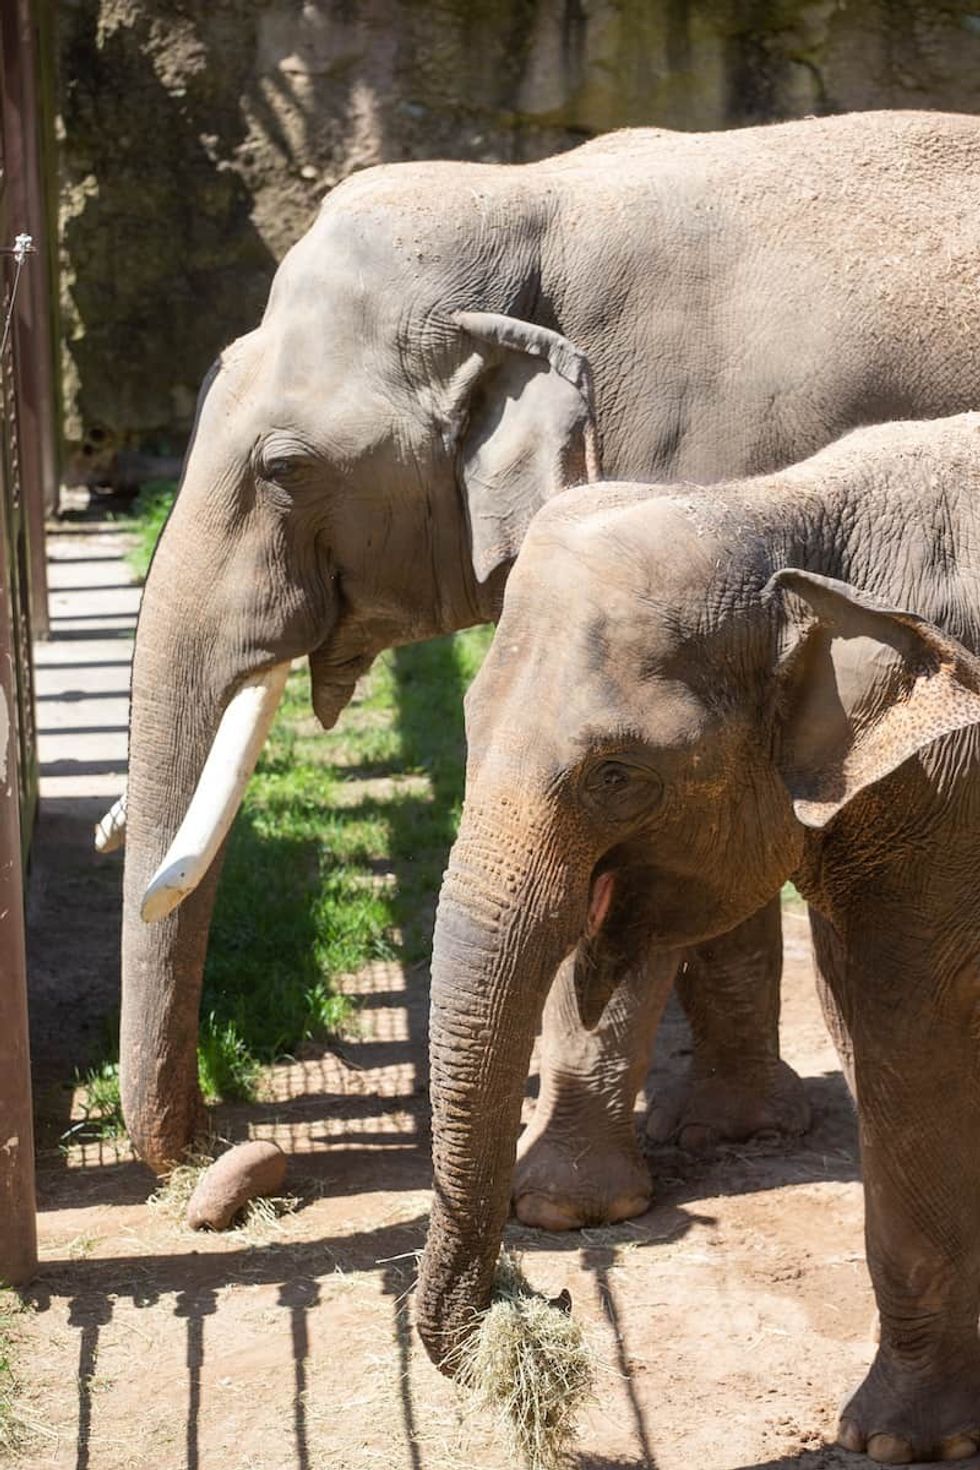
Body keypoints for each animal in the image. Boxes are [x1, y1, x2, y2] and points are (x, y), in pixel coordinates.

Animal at [120, 110, 980, 1231]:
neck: (524, 202)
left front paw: (563, 1207)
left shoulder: (702, 457)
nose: (223, 1160)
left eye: (285, 469)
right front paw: (736, 1131)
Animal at [417, 410, 980, 1465]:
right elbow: (874, 1031)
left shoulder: (945, 785)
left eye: (617, 774)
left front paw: (893, 1442)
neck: (781, 514)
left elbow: (911, 1041)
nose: (550, 1291)